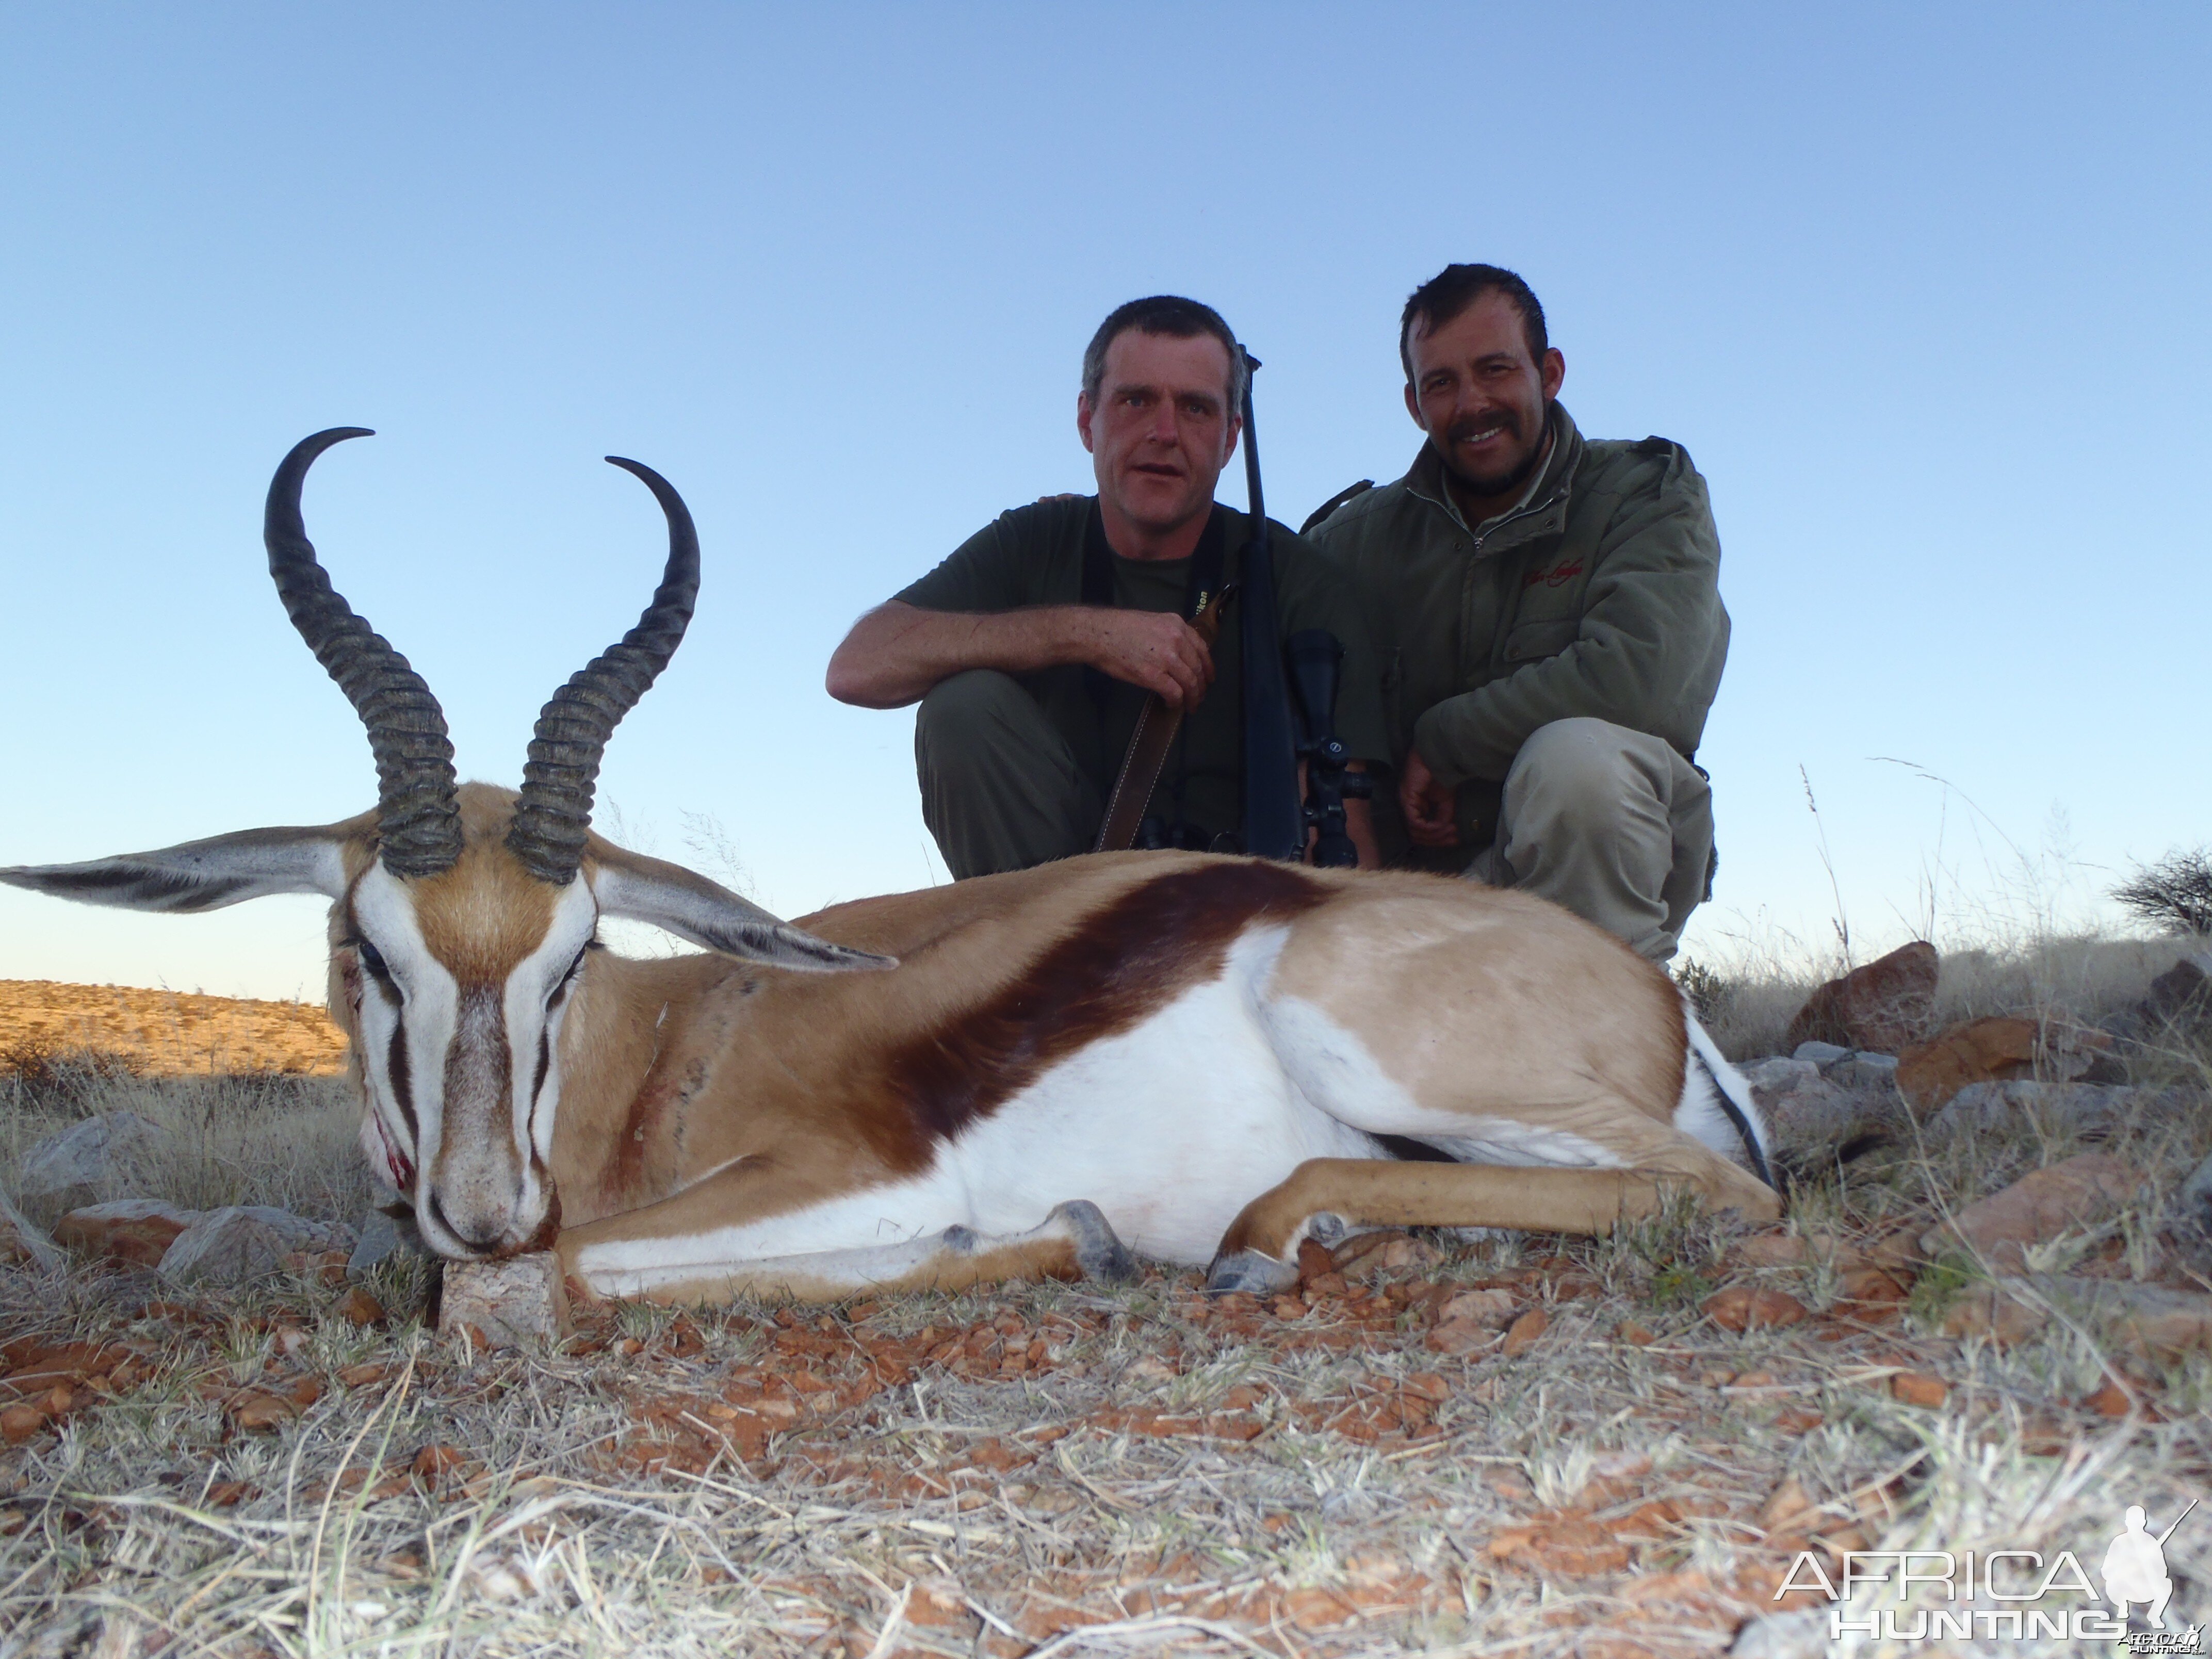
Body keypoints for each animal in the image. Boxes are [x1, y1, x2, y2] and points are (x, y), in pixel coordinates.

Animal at [0, 431, 1778, 1309]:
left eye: (573, 957)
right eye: (369, 949)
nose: (485, 1207)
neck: (668, 1051)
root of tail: (1657, 1006)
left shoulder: (856, 1171)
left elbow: (578, 1274)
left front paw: (1060, 1244)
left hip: (1375, 1047)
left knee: (1725, 1197)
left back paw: (1261, 1237)